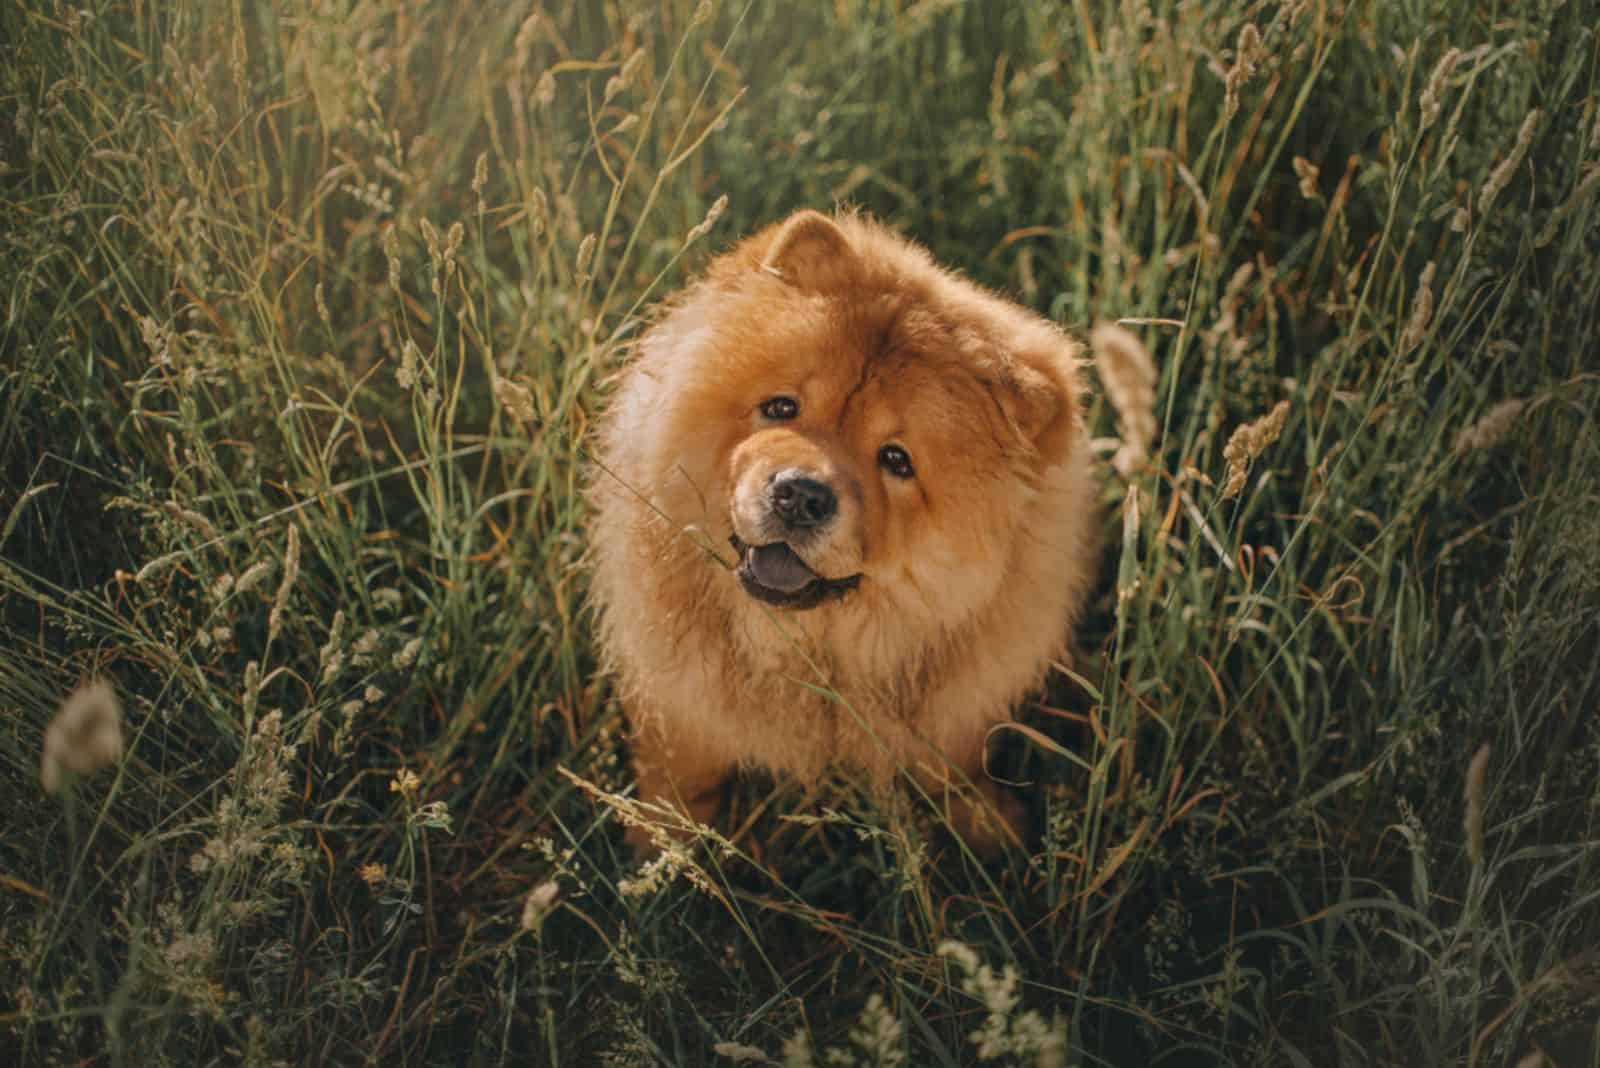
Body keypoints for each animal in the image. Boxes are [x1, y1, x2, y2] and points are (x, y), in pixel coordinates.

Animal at [588, 207, 1100, 856]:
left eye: (897, 461)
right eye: (781, 408)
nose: (801, 496)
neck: (810, 656)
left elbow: (956, 766)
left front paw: (988, 829)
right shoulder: (679, 702)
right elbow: (682, 772)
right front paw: (664, 846)